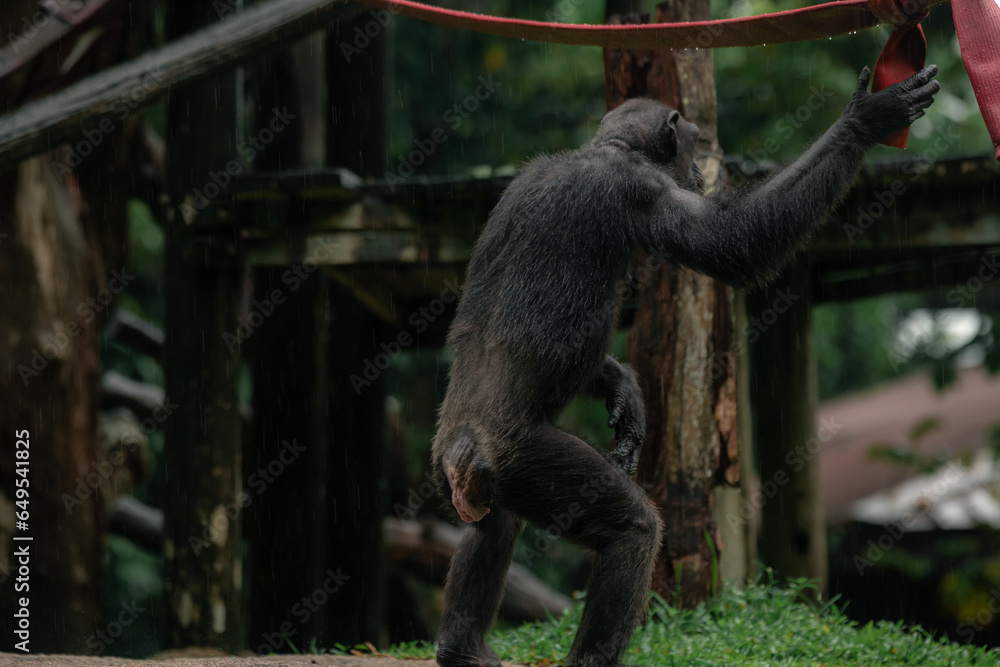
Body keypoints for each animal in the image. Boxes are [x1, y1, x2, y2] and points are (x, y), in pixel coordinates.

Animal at [430, 65, 939, 667]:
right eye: (694, 143)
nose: (698, 170)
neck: (605, 151)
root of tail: (457, 451)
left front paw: (624, 393)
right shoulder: (646, 193)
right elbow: (729, 242)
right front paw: (866, 119)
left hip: (487, 477)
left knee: (494, 527)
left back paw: (462, 650)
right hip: (524, 458)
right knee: (631, 531)